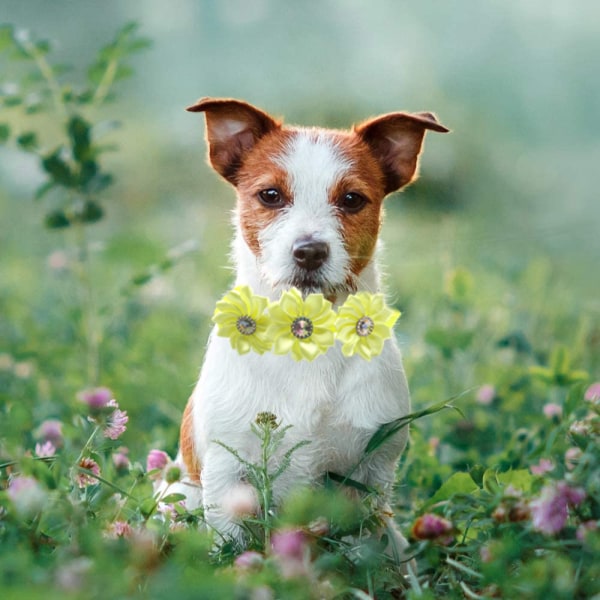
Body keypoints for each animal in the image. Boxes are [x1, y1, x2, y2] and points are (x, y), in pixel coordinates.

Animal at [171, 98, 448, 556]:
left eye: (352, 199)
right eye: (270, 195)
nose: (309, 251)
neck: (305, 334)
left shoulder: (371, 475)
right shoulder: (228, 474)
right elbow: (230, 546)